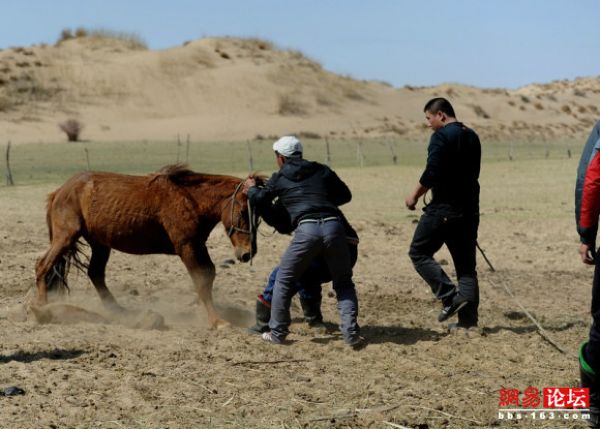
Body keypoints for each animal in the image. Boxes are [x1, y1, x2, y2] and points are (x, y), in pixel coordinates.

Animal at [35, 165, 260, 328]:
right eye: (242, 212)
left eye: (258, 217)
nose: (247, 253)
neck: (190, 200)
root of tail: (59, 192)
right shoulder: (187, 247)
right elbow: (202, 280)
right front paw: (217, 322)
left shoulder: (197, 246)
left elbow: (208, 275)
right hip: (66, 237)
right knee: (42, 265)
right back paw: (43, 308)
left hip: (100, 244)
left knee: (95, 273)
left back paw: (120, 312)